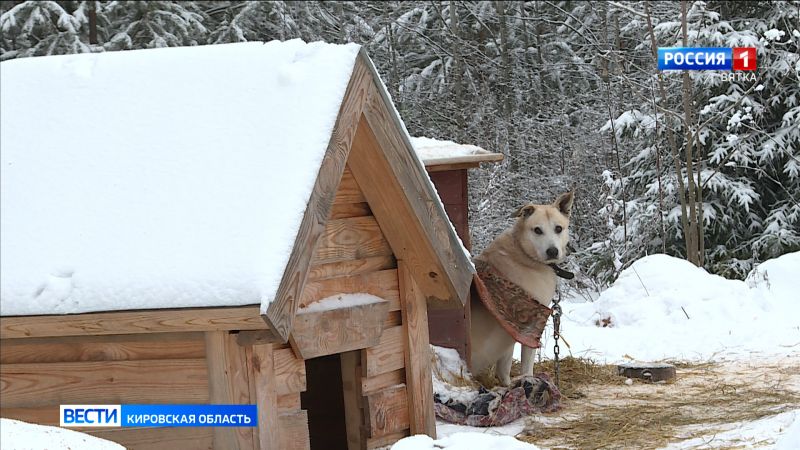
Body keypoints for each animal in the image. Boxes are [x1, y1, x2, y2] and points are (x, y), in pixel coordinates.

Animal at [468, 192, 576, 384]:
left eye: (558, 228)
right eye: (537, 230)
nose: (552, 251)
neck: (523, 252)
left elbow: (503, 371)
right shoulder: (527, 330)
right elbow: (524, 368)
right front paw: (526, 383)